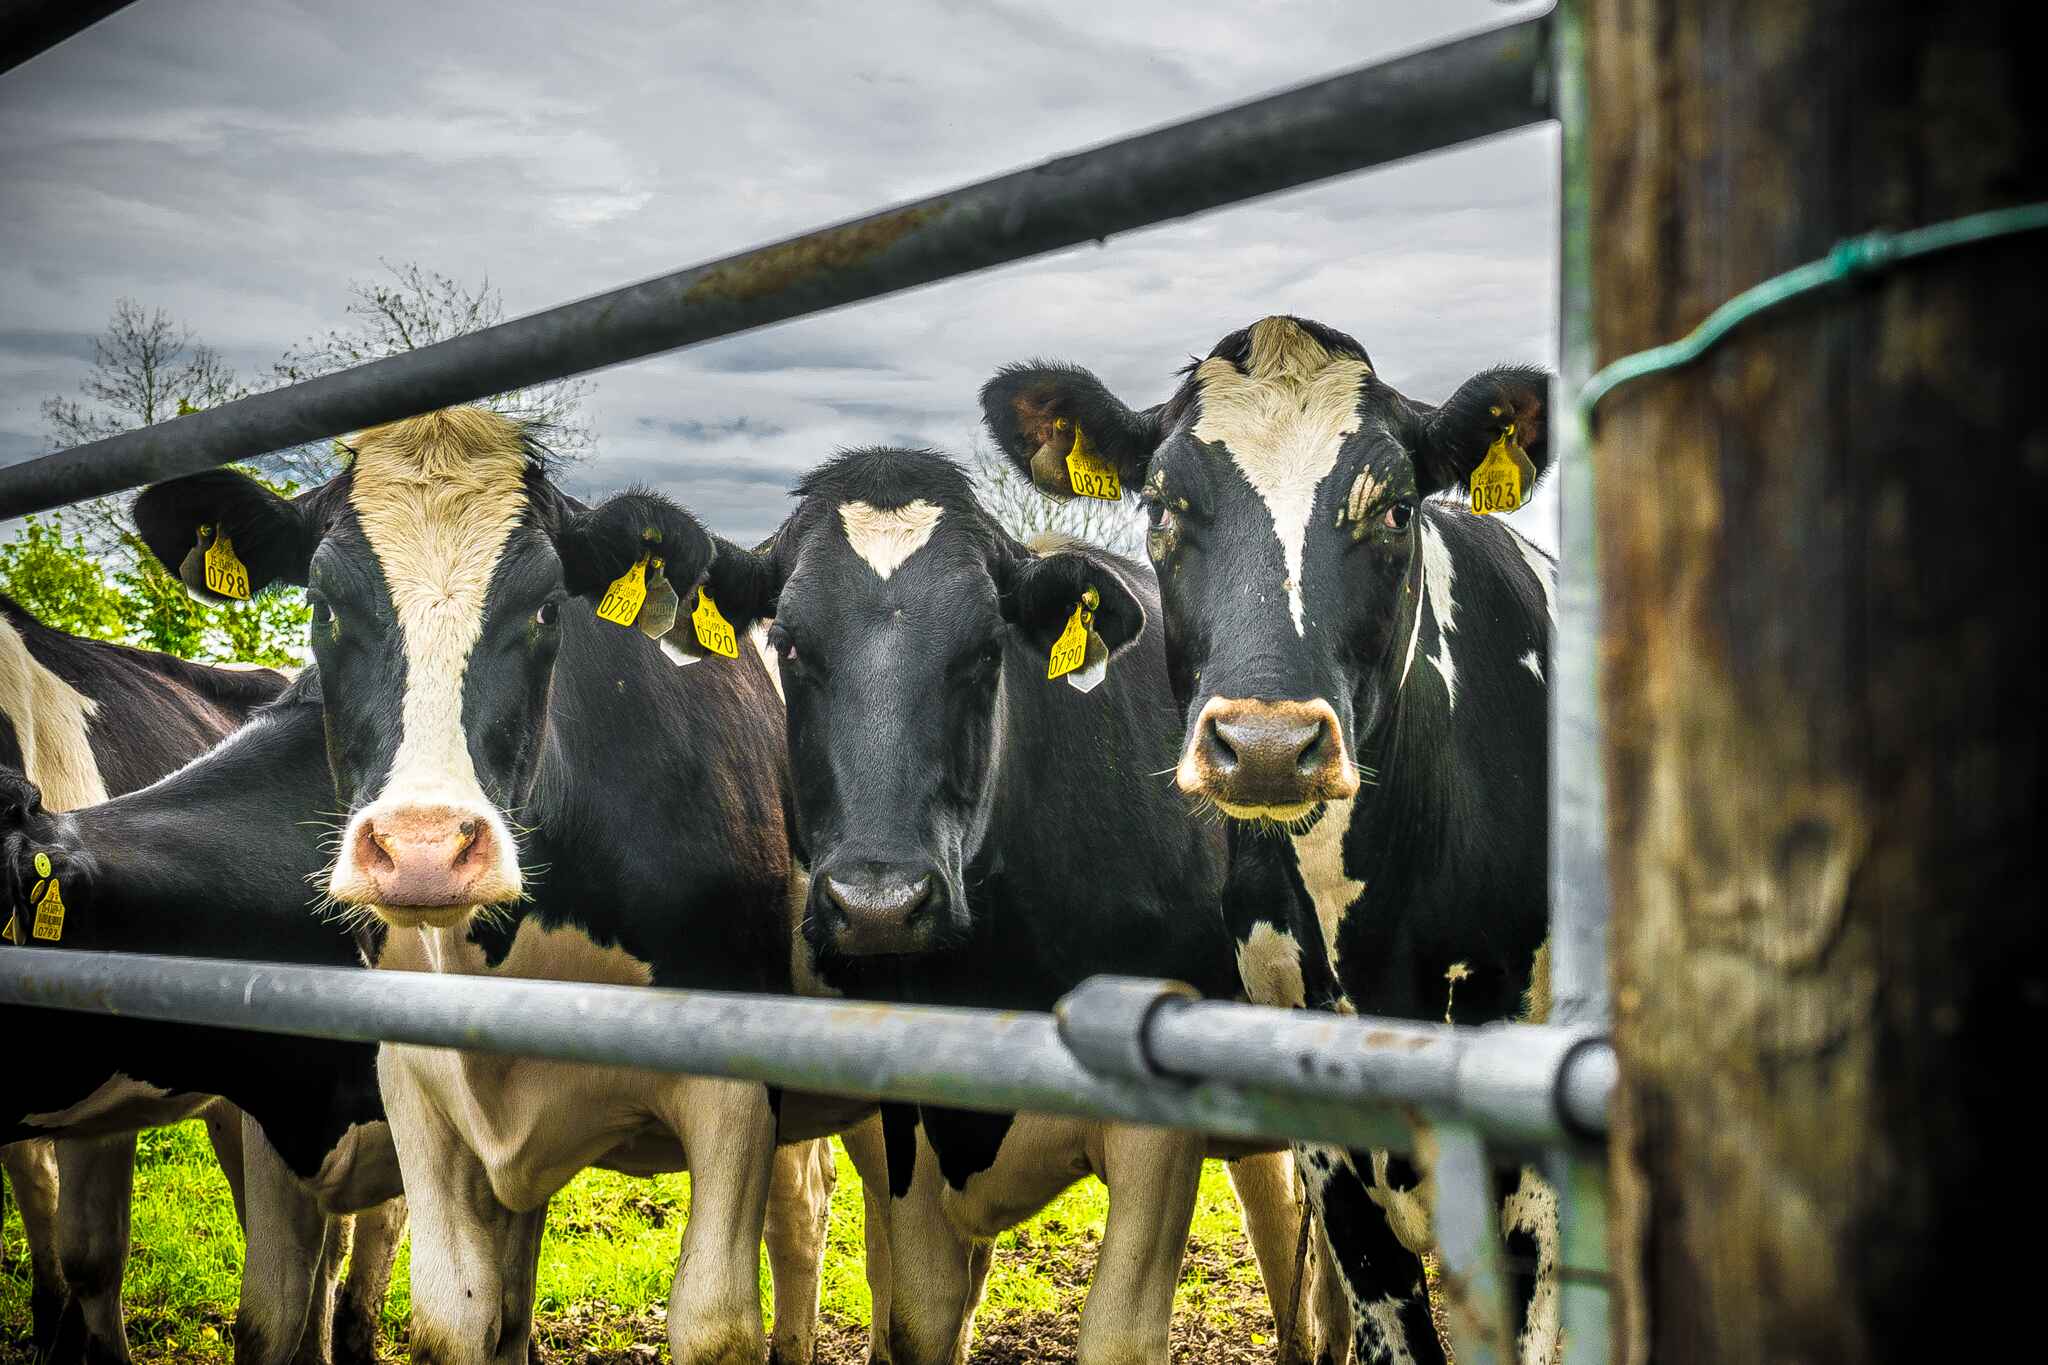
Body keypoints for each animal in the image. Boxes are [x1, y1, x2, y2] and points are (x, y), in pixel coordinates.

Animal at [130, 406, 879, 1365]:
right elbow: (453, 1317)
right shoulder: (417, 1084)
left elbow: (713, 1322)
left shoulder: (734, 1088)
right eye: (323, 604)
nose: (421, 847)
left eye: (544, 606)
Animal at [695, 446, 1336, 1365]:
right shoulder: (907, 1121)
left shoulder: (1157, 1126)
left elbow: (1119, 1337)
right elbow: (919, 1316)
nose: (880, 903)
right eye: (788, 643)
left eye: (986, 649)